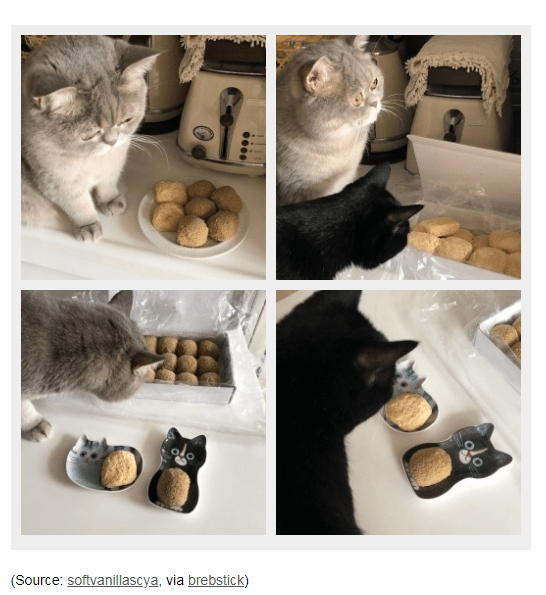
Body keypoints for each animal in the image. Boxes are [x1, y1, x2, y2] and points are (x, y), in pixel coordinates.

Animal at [21, 36, 157, 241]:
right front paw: (88, 225)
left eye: (125, 121)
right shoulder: (56, 181)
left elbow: (107, 185)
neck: (91, 160)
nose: (112, 142)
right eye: (90, 135)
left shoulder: (112, 165)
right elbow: (78, 204)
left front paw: (110, 200)